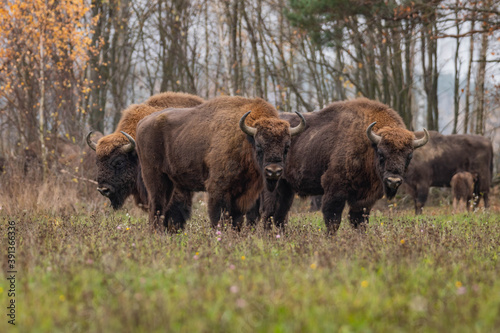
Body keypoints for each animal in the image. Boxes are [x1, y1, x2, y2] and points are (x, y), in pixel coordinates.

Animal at [135, 96, 304, 231]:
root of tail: (142, 123)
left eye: (287, 147)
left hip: (172, 182)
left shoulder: (243, 194)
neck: (245, 139)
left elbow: (236, 220)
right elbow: (219, 217)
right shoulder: (218, 189)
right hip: (156, 178)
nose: (273, 171)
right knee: (156, 206)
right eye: (259, 146)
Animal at [260, 98, 428, 233]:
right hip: (273, 186)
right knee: (269, 213)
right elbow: (333, 219)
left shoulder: (365, 198)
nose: (393, 181)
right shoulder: (335, 189)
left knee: (280, 215)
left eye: (409, 156)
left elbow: (359, 221)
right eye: (381, 153)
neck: (368, 143)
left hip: (287, 188)